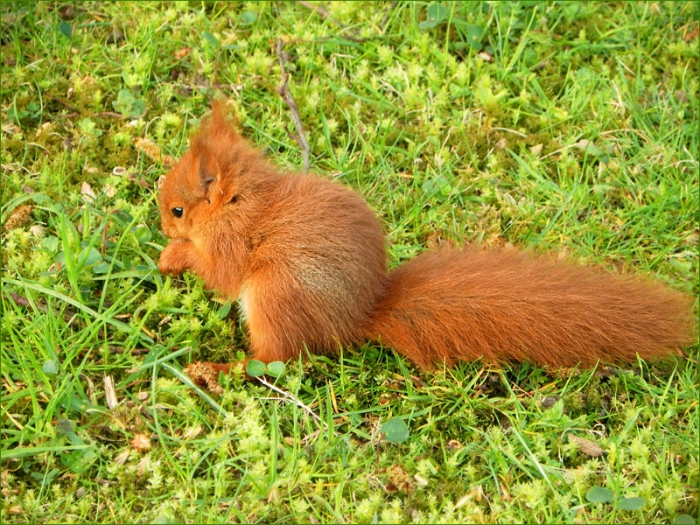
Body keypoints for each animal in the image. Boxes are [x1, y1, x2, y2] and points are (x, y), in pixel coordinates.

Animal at [157, 101, 695, 391]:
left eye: (178, 210)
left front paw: (172, 257)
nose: (162, 226)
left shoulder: (234, 243)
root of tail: (355, 320)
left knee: (273, 361)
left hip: (273, 297)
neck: (240, 201)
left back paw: (215, 369)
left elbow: (222, 275)